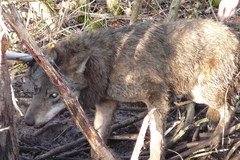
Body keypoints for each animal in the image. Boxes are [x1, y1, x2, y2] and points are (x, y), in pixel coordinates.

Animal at [24, 19, 240, 159]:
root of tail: (234, 36)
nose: (27, 121)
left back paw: (212, 141)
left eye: (54, 95)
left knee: (229, 108)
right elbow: (97, 142)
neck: (108, 64)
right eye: (35, 89)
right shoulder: (106, 105)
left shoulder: (157, 99)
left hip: (202, 92)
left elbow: (155, 143)